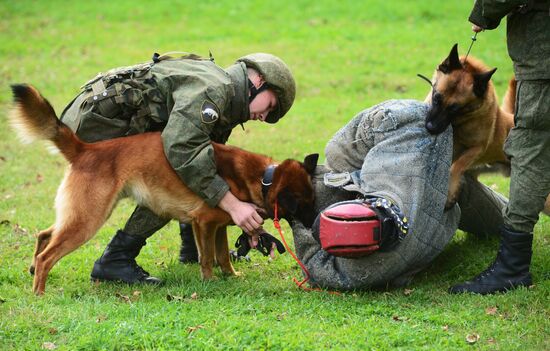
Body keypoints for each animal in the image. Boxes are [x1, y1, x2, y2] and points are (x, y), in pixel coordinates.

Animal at [8, 84, 320, 294]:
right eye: (304, 205)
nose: (314, 226)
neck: (263, 178)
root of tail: (85, 149)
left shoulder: (219, 226)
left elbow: (221, 255)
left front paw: (231, 276)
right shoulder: (204, 223)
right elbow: (208, 257)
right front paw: (209, 283)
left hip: (81, 214)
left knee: (44, 234)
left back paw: (34, 270)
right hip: (89, 219)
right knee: (47, 254)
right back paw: (39, 292)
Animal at [422, 43, 516, 209]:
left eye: (454, 108)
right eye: (436, 97)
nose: (430, 127)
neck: (460, 121)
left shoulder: (477, 149)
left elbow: (456, 166)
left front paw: (450, 194)